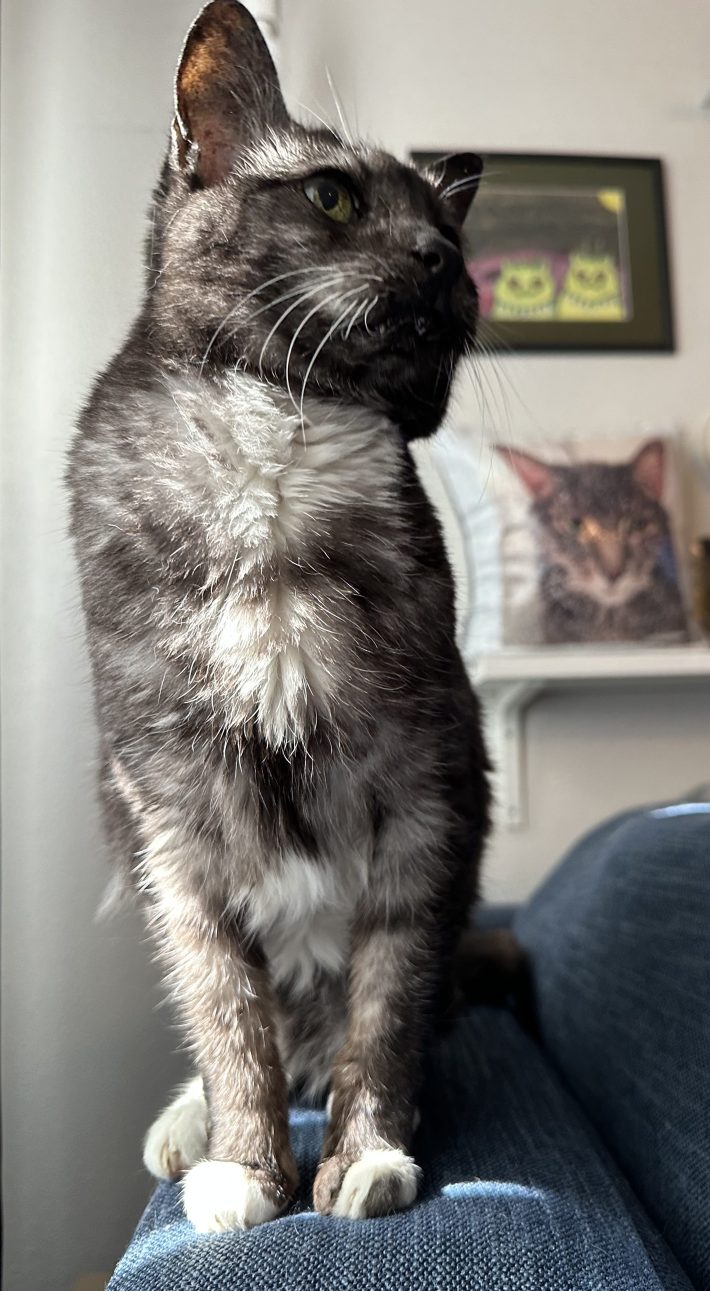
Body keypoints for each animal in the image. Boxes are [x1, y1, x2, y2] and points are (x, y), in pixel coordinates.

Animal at [66, 0, 493, 1229]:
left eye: (445, 230)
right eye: (334, 196)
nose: (442, 260)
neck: (283, 449)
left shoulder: (425, 792)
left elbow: (386, 1003)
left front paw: (367, 1154)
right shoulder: (170, 825)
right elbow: (224, 1016)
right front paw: (249, 1166)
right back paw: (187, 1126)